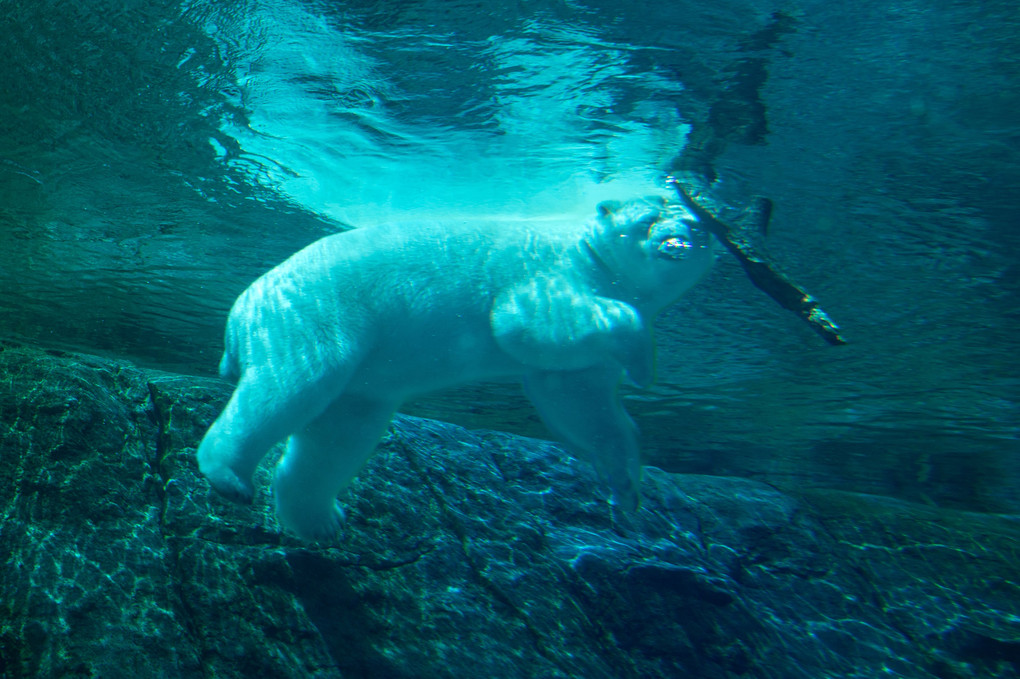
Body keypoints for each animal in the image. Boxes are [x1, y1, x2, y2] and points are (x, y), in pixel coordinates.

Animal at [194, 192, 714, 538]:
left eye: (699, 217)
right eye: (652, 213)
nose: (683, 234)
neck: (586, 248)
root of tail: (240, 314)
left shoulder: (583, 362)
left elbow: (579, 401)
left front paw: (625, 488)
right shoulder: (551, 273)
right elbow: (521, 321)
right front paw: (643, 361)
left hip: (362, 375)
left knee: (337, 436)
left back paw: (321, 522)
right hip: (318, 314)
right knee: (294, 385)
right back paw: (230, 478)